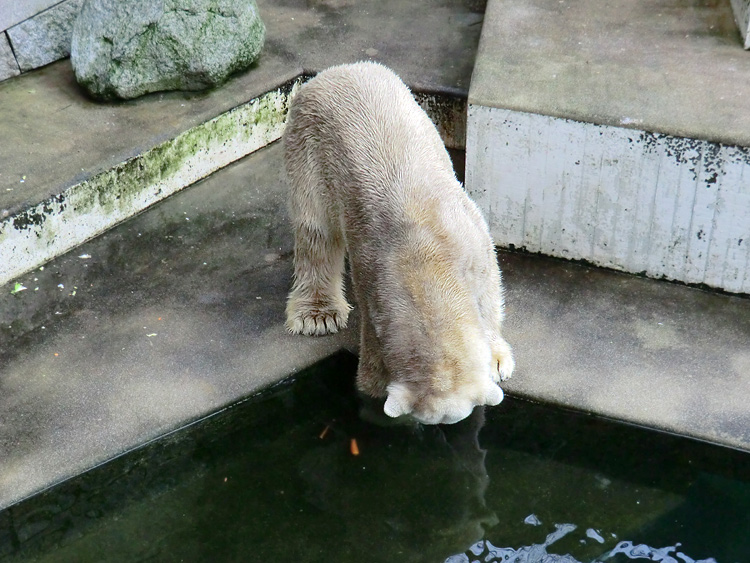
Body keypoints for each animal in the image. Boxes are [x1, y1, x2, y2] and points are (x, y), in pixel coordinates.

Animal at [284, 62, 516, 424]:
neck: (423, 260)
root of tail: (337, 70)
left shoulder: (471, 238)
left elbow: (489, 288)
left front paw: (496, 359)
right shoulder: (371, 279)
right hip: (309, 148)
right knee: (316, 231)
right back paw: (317, 315)